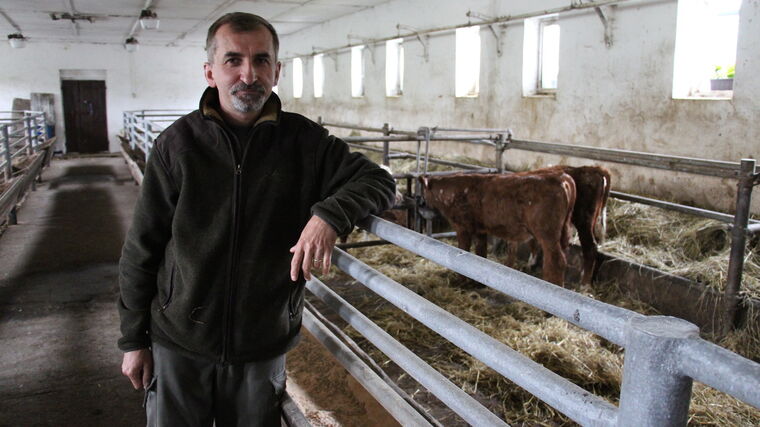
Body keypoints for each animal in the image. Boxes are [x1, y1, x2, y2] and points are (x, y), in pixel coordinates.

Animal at [416, 172, 576, 286]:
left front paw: (460, 281)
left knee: (556, 261)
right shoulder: (480, 230)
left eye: (422, 192)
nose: (419, 204)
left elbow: (463, 251)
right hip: (563, 232)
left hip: (547, 234)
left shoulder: (462, 227)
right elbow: (480, 252)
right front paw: (477, 283)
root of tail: (561, 177)